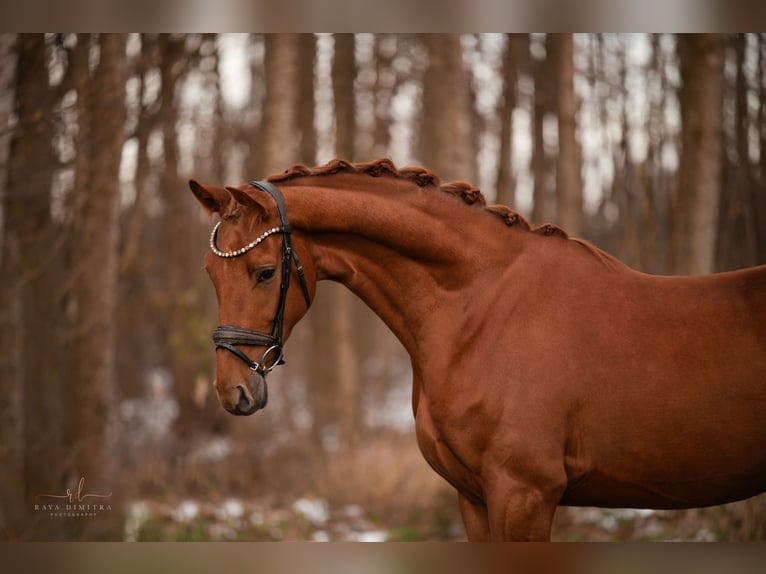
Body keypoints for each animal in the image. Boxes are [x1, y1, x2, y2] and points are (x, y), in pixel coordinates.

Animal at [190, 160, 766, 544]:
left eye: (265, 272)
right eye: (210, 272)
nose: (232, 391)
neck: (482, 308)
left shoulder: (525, 494)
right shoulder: (474, 497)